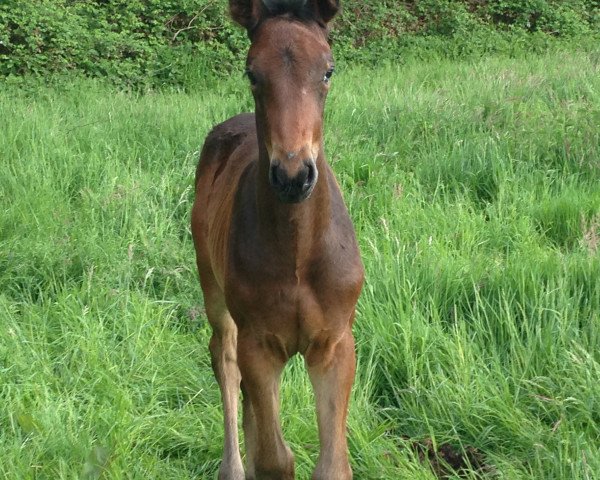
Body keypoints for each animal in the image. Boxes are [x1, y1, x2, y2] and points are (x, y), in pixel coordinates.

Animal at [190, 1, 364, 478]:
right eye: (252, 72)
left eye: (328, 70)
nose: (293, 176)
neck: (299, 254)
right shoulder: (260, 344)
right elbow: (273, 459)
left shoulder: (335, 344)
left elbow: (332, 464)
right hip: (213, 290)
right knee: (225, 361)